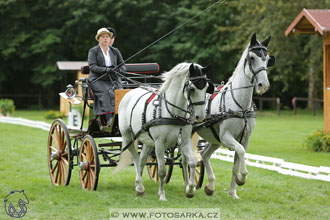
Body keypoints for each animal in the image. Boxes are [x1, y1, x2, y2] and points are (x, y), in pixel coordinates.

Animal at [116, 62, 214, 201]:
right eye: (192, 89)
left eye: (206, 88)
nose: (200, 116)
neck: (173, 113)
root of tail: (130, 92)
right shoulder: (159, 144)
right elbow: (162, 170)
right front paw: (162, 194)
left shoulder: (184, 142)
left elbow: (192, 162)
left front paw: (190, 190)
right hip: (127, 136)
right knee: (135, 158)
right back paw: (139, 186)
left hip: (148, 141)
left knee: (142, 160)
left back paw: (138, 186)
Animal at [196, 33, 276, 199]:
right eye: (252, 57)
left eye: (267, 58)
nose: (263, 85)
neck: (241, 107)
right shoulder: (227, 137)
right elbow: (241, 152)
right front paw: (242, 178)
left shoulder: (244, 139)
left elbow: (236, 163)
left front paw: (233, 192)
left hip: (215, 139)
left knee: (204, 154)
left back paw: (210, 187)